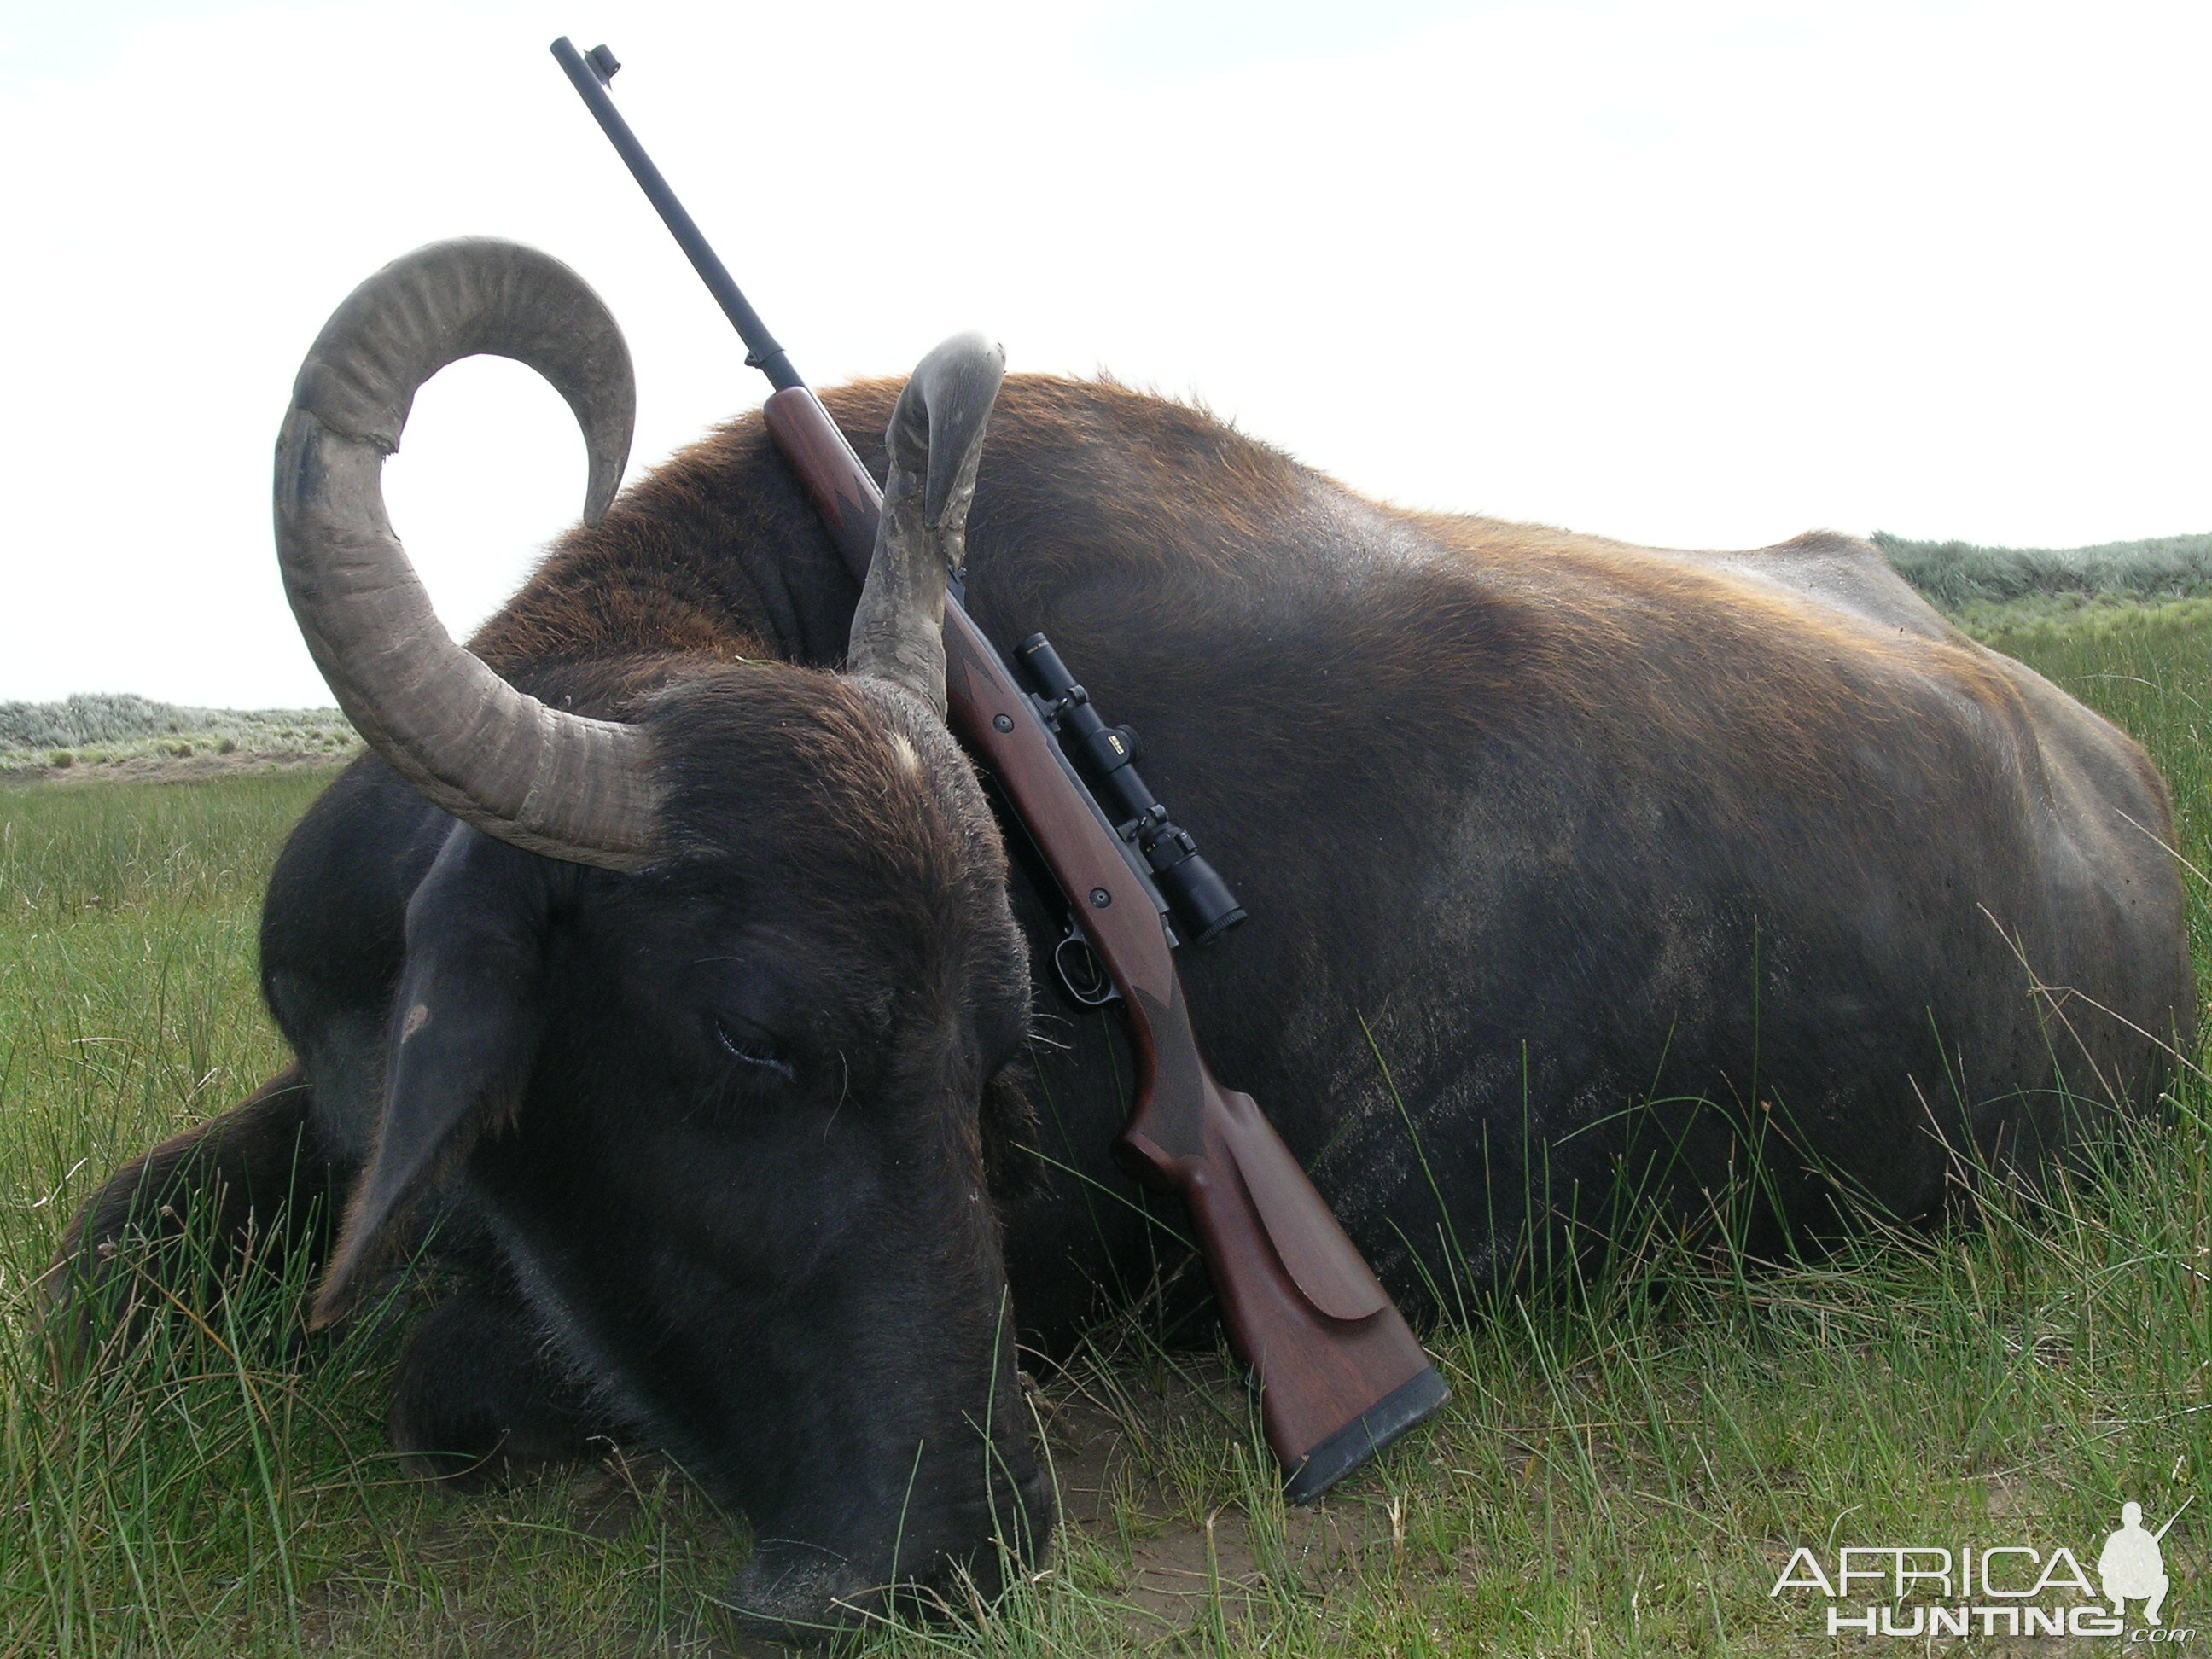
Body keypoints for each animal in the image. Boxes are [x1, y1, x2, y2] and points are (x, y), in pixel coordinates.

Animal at [51, 240, 2194, 1645]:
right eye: (753, 1039)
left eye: (1001, 1054)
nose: (950, 1547)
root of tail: (2137, 816)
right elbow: (99, 1252)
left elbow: (440, 1374)